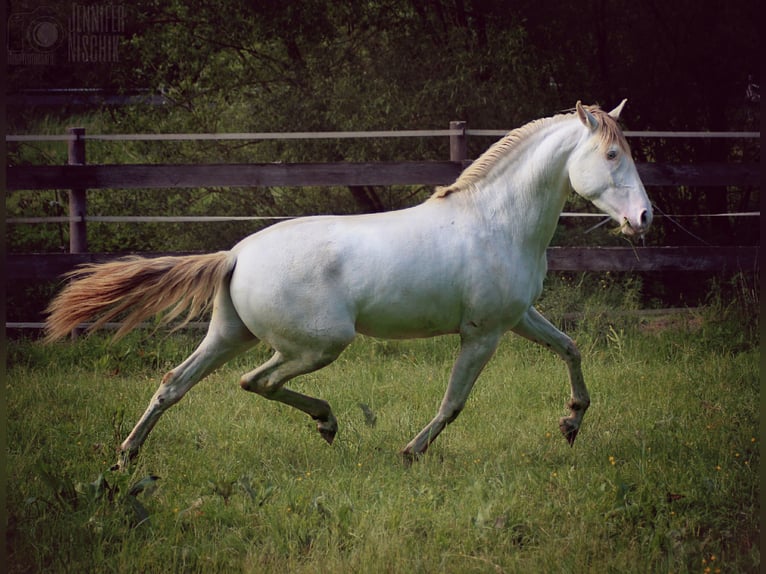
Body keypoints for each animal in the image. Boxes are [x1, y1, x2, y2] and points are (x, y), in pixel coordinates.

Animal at [45, 102, 652, 472]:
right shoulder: (483, 333)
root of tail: (237, 254)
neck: (496, 220)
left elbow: (570, 347)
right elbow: (454, 401)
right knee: (256, 381)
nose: (644, 218)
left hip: (230, 335)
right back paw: (327, 421)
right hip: (319, 344)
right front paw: (410, 452)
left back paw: (126, 457)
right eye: (611, 154)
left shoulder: (518, 316)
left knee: (175, 382)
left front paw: (571, 422)